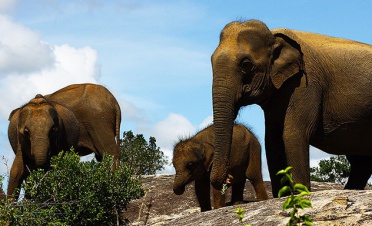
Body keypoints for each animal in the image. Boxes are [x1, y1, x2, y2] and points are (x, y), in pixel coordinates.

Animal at [211, 20, 370, 198]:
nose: (228, 178)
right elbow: (272, 141)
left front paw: (301, 196)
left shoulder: (305, 84)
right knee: (361, 163)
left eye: (246, 65)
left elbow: (293, 135)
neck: (274, 36)